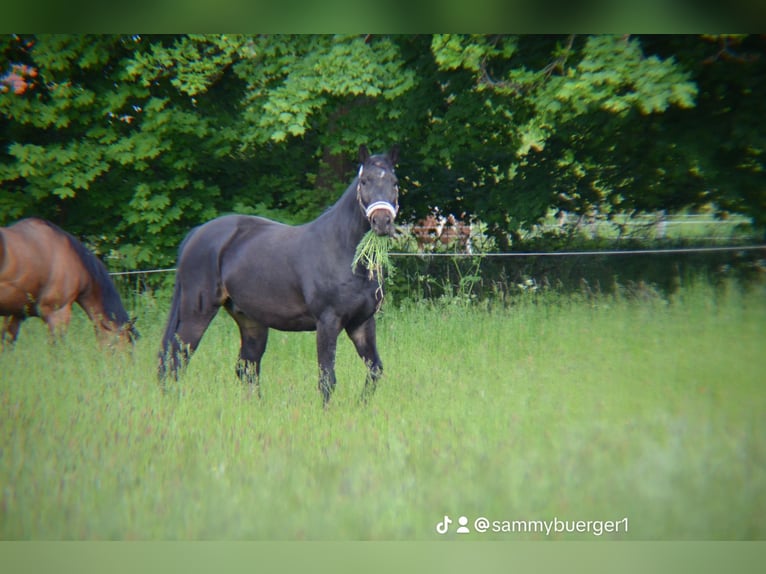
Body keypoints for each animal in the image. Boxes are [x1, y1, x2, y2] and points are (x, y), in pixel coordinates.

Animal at [160, 146, 404, 408]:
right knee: (176, 360)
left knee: (246, 368)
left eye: (394, 182)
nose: (382, 222)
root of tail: (196, 233)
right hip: (197, 314)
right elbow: (327, 378)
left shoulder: (361, 322)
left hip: (251, 322)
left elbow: (375, 369)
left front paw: (362, 407)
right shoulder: (327, 322)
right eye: (364, 181)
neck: (342, 249)